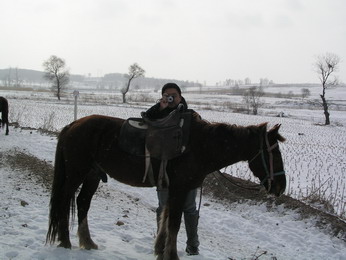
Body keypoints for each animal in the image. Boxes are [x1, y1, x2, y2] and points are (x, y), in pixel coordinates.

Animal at [46, 112, 286, 260]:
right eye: (274, 152)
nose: (281, 187)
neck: (200, 146)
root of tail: (73, 125)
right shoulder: (180, 189)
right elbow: (175, 223)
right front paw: (172, 255)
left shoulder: (175, 190)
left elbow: (167, 218)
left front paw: (161, 251)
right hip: (76, 174)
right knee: (65, 200)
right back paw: (65, 241)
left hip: (93, 175)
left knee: (82, 203)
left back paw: (87, 242)